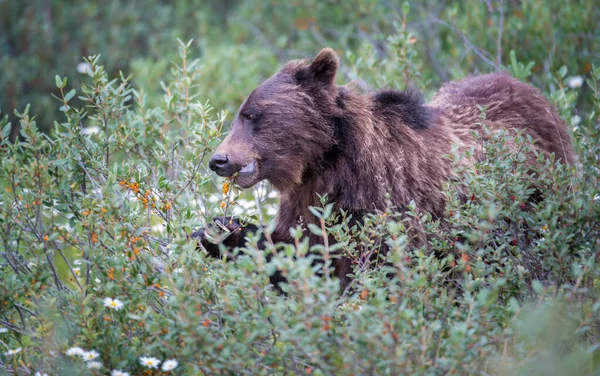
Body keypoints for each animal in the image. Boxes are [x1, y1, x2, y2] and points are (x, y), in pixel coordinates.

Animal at [197, 47, 576, 288]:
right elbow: (294, 249)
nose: (219, 160)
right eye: (241, 113)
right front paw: (220, 230)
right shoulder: (308, 201)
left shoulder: (385, 199)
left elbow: (381, 264)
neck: (326, 164)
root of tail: (536, 94)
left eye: (251, 115)